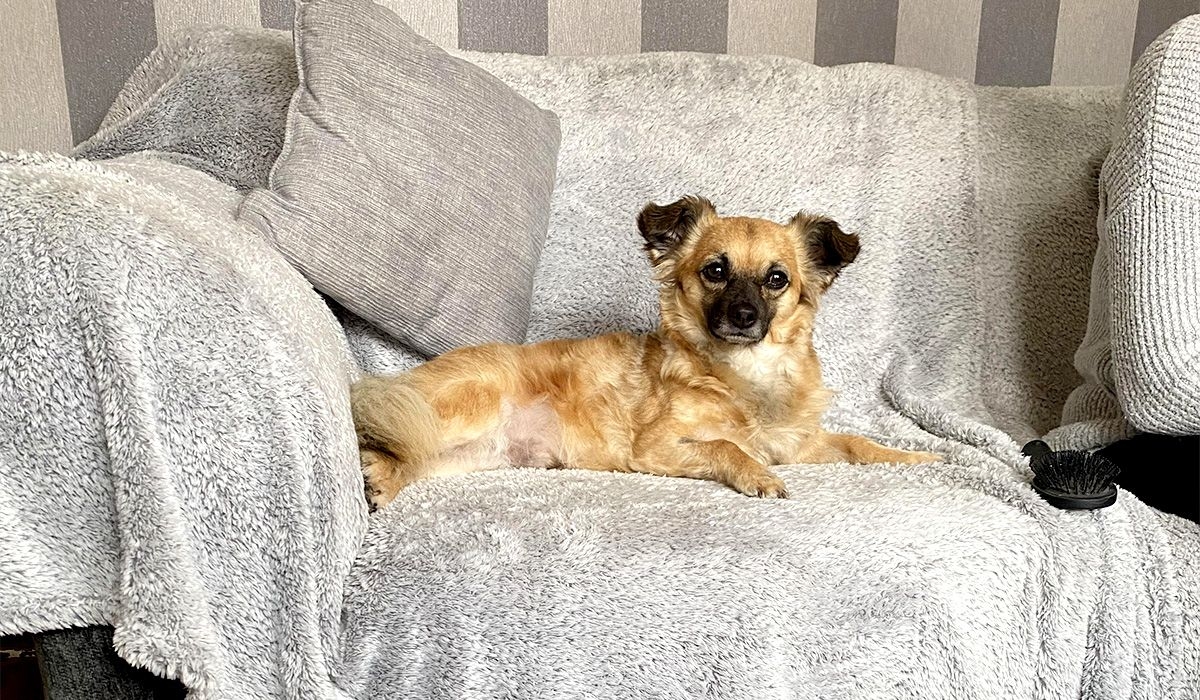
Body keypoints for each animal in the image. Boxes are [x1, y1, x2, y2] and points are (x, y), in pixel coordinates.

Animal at [350, 196, 940, 509]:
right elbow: (726, 447)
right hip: (463, 407)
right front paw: (757, 476)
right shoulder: (657, 448)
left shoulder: (796, 441)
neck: (741, 376)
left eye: (777, 280)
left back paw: (384, 479)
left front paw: (918, 458)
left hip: (475, 454)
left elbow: (857, 443)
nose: (743, 316)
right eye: (715, 270)